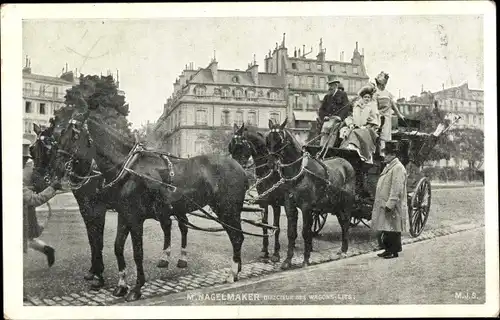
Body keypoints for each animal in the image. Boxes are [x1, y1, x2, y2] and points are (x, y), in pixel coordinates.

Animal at [52, 104, 248, 300]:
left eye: (75, 134)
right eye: (61, 134)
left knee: (236, 237)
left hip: (227, 210)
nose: (58, 167)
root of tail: (239, 166)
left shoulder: (133, 218)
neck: (128, 169)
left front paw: (137, 288)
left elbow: (137, 252)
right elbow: (117, 247)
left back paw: (232, 273)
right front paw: (121, 285)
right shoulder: (123, 215)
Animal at [228, 124, 290, 262]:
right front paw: (265, 251)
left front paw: (276, 253)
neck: (270, 171)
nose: (235, 170)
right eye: (230, 147)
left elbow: (276, 226)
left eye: (240, 146)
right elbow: (265, 225)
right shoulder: (264, 202)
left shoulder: (276, 204)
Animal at [266, 117, 356, 268]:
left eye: (279, 140)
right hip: (335, 204)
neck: (299, 172)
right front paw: (287, 260)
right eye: (268, 139)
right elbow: (291, 233)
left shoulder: (306, 207)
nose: (271, 164)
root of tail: (346, 163)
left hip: (346, 203)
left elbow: (305, 232)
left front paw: (306, 259)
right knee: (343, 221)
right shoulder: (290, 206)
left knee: (346, 223)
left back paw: (344, 250)